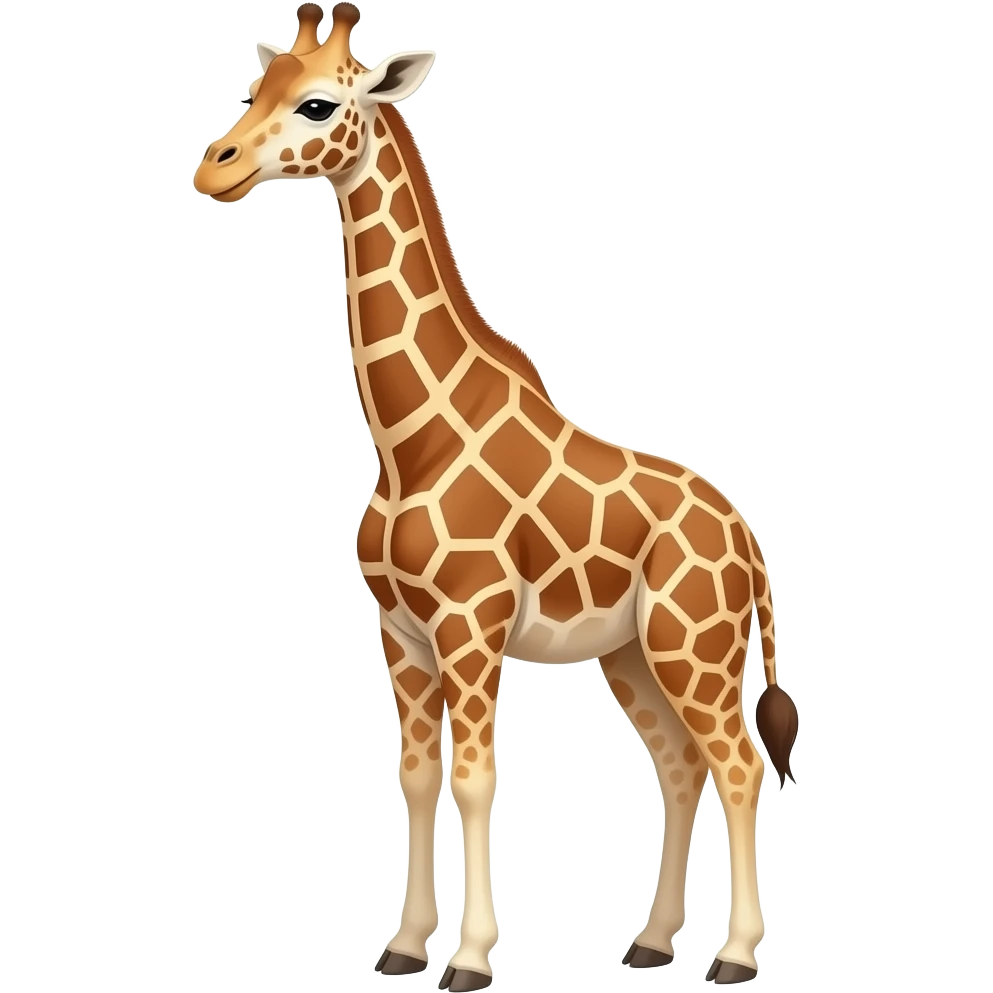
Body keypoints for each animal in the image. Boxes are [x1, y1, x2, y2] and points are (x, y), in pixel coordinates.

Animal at [194, 4, 800, 988]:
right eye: (255, 89)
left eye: (319, 103)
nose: (217, 167)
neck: (409, 442)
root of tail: (748, 540)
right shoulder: (399, 632)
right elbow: (415, 774)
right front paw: (404, 946)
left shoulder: (469, 624)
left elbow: (477, 777)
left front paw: (471, 958)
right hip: (632, 653)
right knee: (679, 765)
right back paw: (650, 940)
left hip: (695, 646)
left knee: (738, 762)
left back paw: (734, 955)